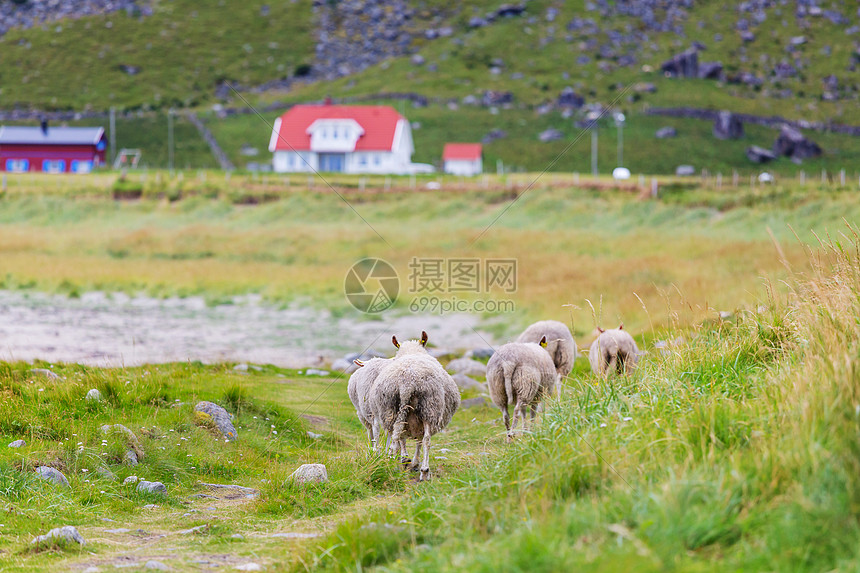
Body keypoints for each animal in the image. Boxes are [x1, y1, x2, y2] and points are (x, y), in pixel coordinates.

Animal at [372, 328, 460, 480]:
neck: (412, 351)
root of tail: (407, 383)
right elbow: (419, 440)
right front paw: (415, 463)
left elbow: (406, 439)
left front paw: (408, 461)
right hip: (430, 408)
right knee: (426, 440)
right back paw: (424, 471)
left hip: (390, 409)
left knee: (397, 435)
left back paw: (396, 461)